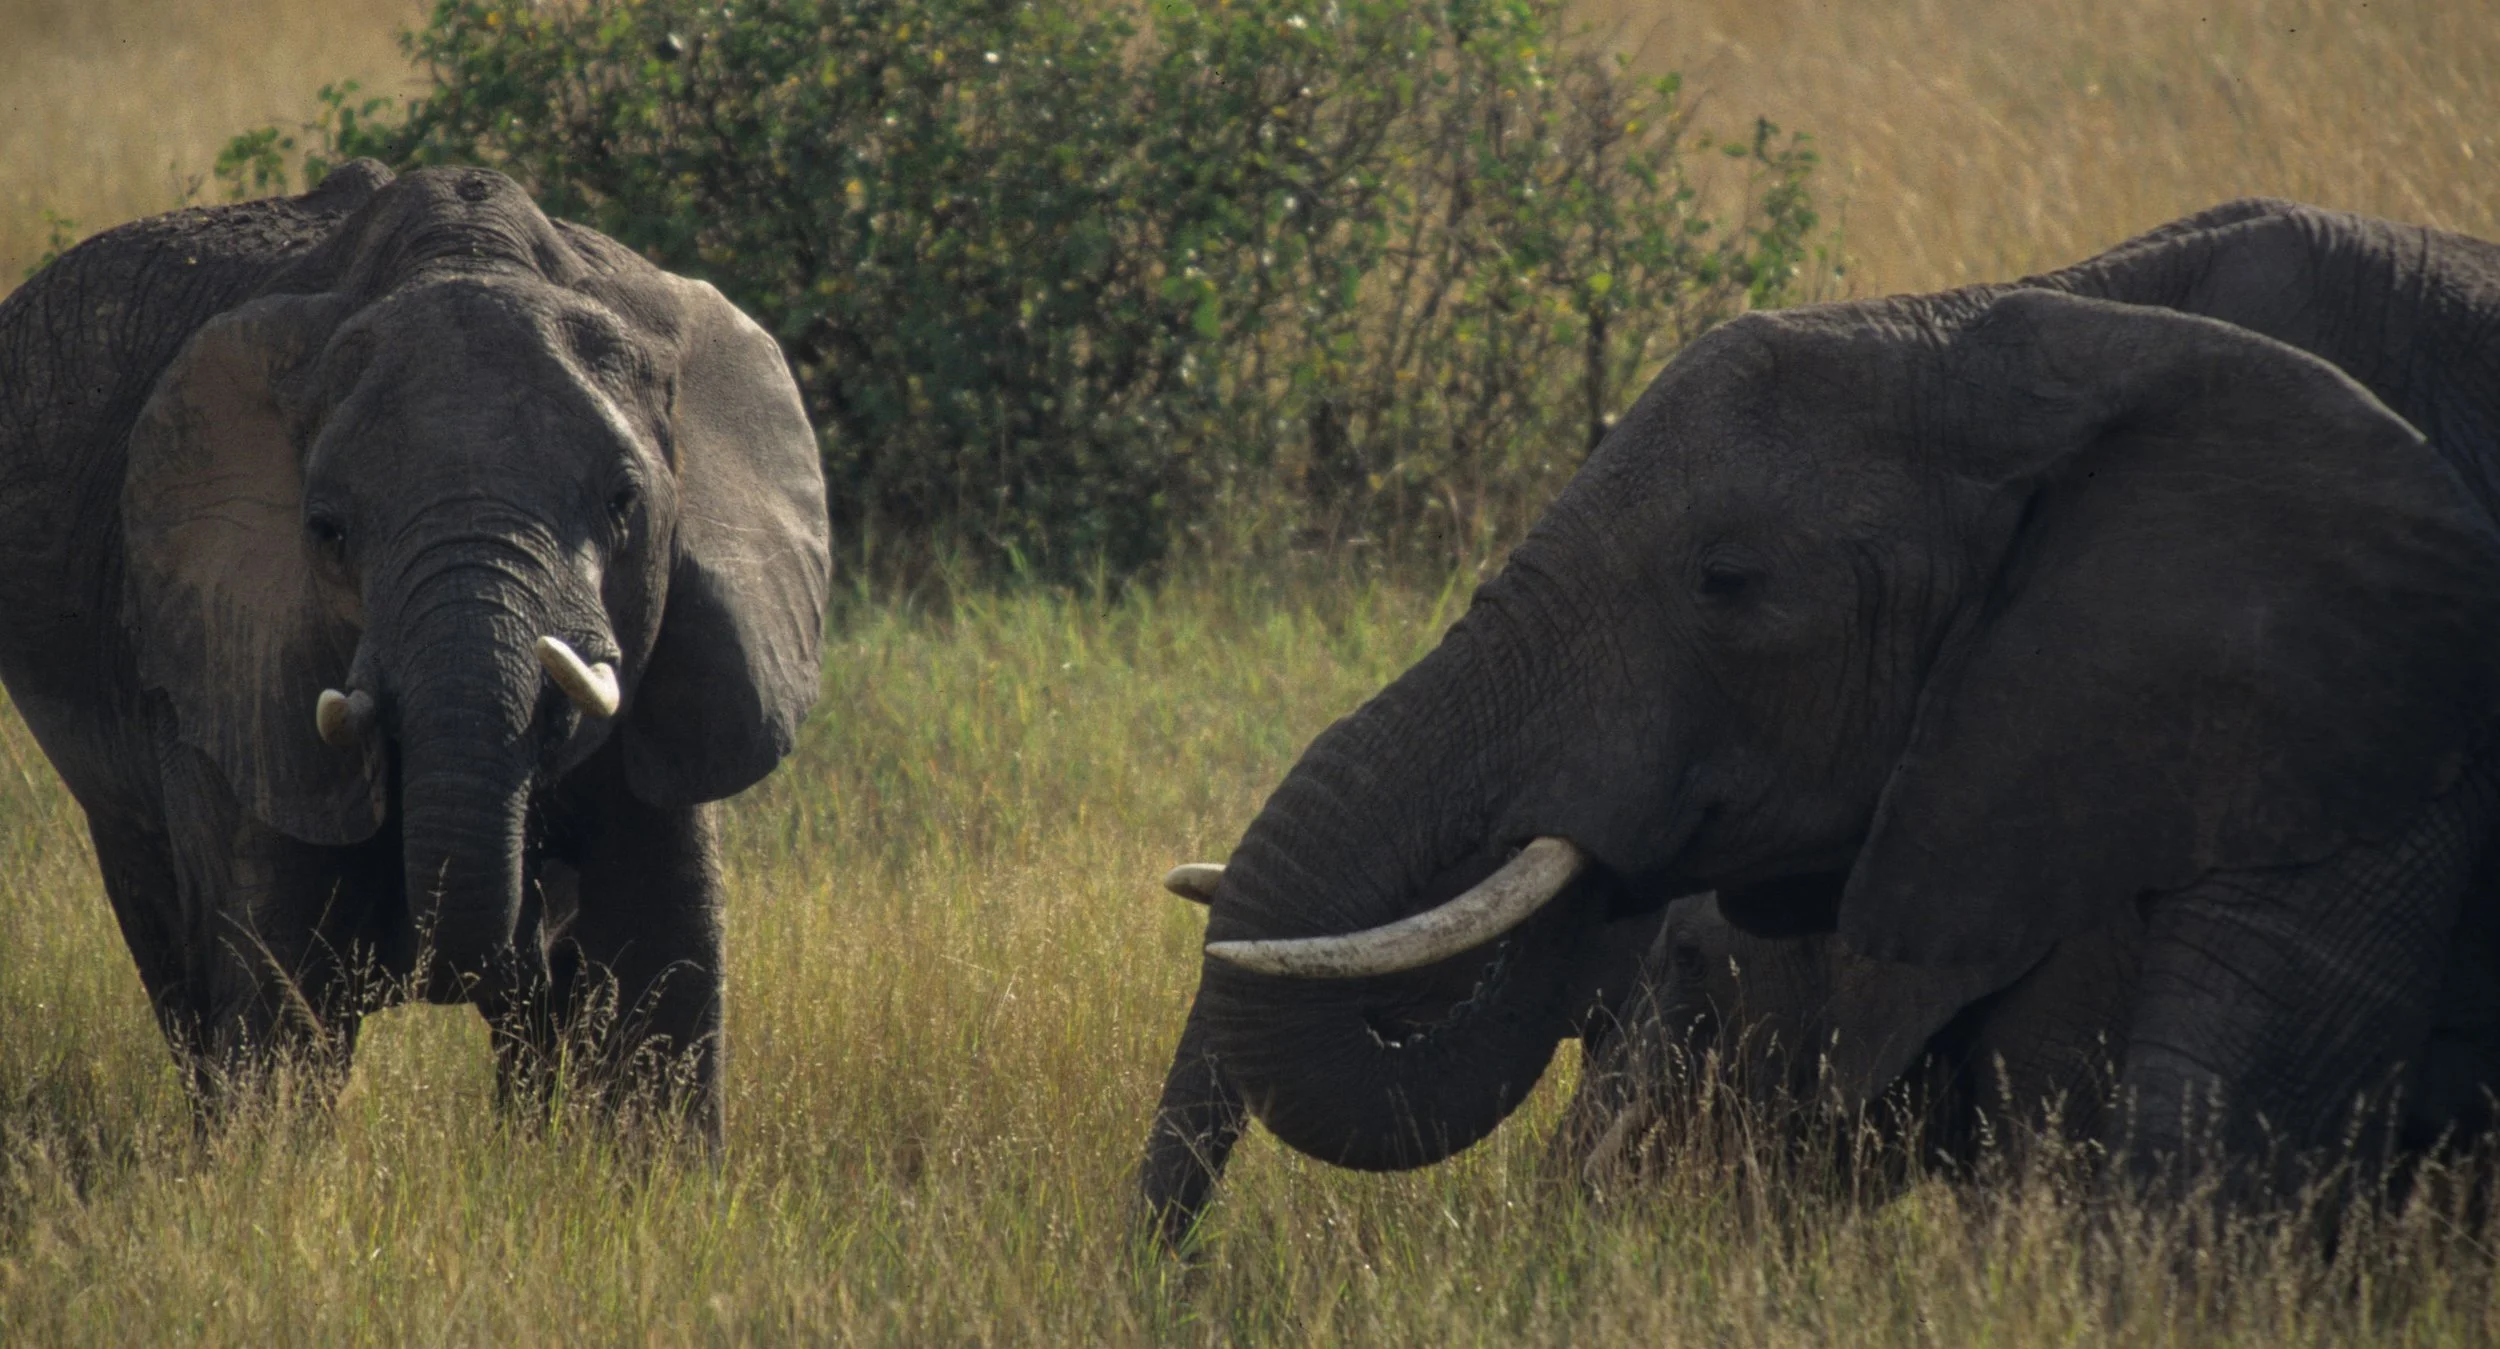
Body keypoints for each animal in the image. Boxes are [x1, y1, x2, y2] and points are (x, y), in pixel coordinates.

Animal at [0, 160, 831, 1140]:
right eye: (327, 531)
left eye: (625, 502)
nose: (537, 927)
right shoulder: (238, 650)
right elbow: (282, 985)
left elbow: (662, 959)